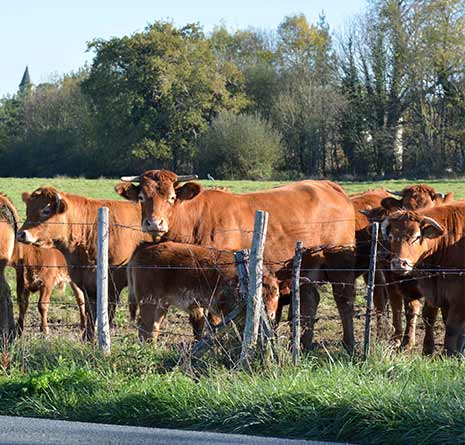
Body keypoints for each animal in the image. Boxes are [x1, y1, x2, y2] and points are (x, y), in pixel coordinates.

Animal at [0, 193, 84, 334]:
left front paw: (44, 328)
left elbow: (42, 305)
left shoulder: (47, 284)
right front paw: (19, 327)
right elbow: (22, 304)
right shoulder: (22, 283)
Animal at [16, 187, 150, 340]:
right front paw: (88, 338)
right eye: (28, 209)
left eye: (46, 210)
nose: (21, 234)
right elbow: (89, 312)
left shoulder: (112, 285)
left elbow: (107, 314)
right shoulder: (86, 283)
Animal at [116, 169, 356, 350]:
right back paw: (304, 345)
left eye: (172, 198)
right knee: (309, 300)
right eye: (141, 198)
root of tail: (328, 186)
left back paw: (349, 344)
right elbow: (197, 320)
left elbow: (213, 320)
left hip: (341, 265)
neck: (195, 220)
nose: (154, 223)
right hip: (308, 269)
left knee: (344, 301)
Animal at [382, 204, 464, 354]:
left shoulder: (458, 294)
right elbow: (428, 316)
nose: (399, 264)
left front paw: (448, 353)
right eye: (391, 236)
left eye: (417, 236)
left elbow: (452, 326)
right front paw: (425, 348)